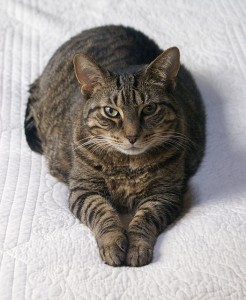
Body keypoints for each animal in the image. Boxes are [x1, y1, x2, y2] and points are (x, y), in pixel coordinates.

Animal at [24, 24, 206, 266]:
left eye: (149, 109)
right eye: (111, 111)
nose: (132, 135)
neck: (128, 166)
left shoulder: (165, 194)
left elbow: (145, 219)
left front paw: (137, 247)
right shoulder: (84, 190)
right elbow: (102, 213)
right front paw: (113, 244)